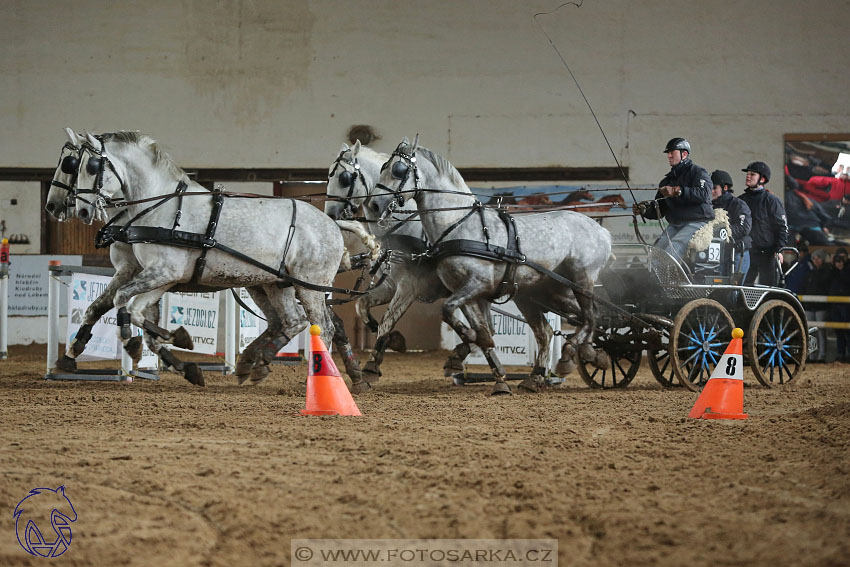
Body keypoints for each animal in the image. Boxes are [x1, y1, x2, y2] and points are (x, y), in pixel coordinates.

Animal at [70, 131, 344, 388]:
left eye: (92, 166)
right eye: (74, 165)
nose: (81, 210)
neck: (163, 207)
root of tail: (332, 226)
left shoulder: (164, 272)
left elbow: (122, 299)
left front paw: (139, 339)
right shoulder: (160, 277)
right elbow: (133, 309)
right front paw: (177, 346)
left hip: (310, 287)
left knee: (323, 328)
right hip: (275, 284)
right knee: (293, 321)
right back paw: (255, 364)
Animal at [322, 142, 450, 390]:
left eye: (344, 177)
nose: (330, 215)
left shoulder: (409, 288)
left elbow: (388, 320)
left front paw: (372, 365)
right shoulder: (390, 285)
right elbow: (363, 306)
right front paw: (391, 339)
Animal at [368, 138, 612, 394]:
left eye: (398, 169)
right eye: (383, 166)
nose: (374, 204)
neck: (458, 224)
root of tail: (601, 230)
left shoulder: (477, 284)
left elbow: (447, 311)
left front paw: (468, 342)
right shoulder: (464, 291)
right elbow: (475, 328)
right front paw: (495, 374)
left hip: (581, 279)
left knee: (590, 317)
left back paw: (575, 355)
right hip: (545, 293)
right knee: (558, 328)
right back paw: (540, 375)